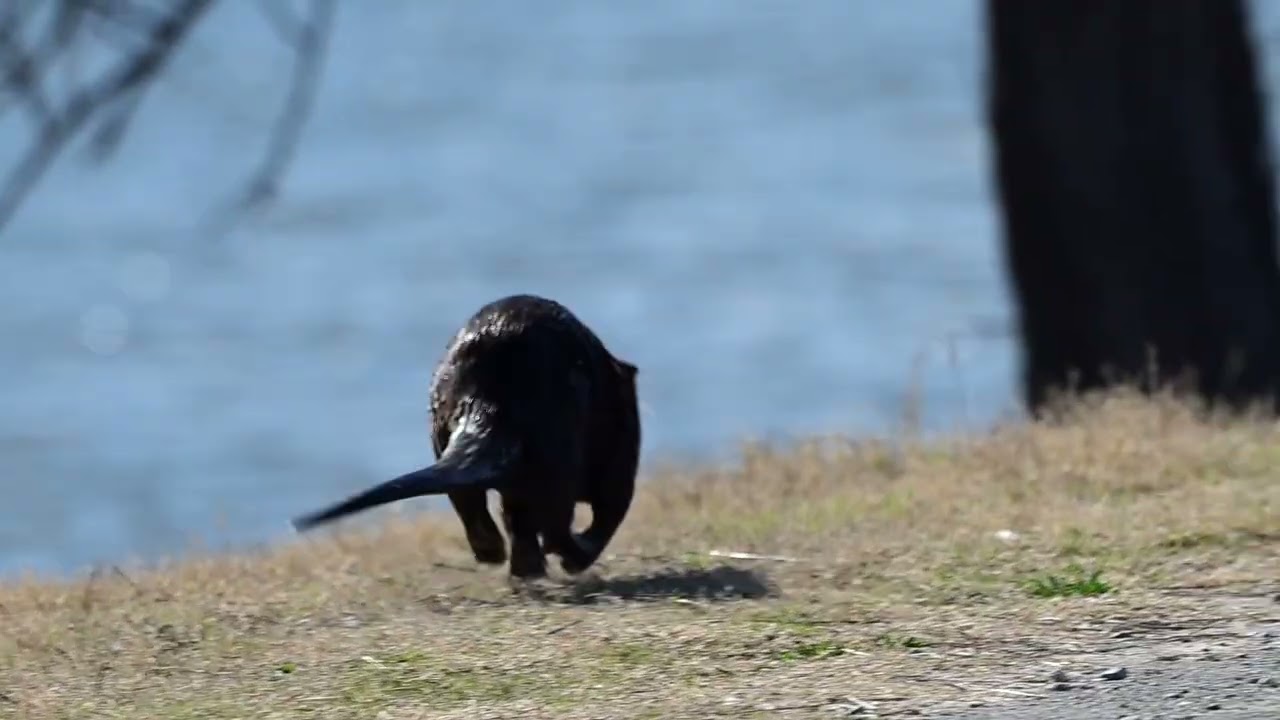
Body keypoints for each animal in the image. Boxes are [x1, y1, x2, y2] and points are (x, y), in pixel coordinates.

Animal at [291, 293, 641, 579]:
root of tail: (488, 400)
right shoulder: (623, 446)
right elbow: (611, 507)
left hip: (444, 434)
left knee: (481, 505)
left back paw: (506, 559)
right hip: (563, 447)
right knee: (560, 519)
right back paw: (569, 559)